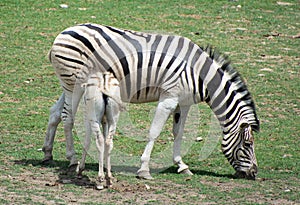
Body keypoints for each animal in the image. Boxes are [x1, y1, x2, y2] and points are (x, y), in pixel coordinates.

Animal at [42, 23, 260, 179]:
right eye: (248, 144)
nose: (254, 173)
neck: (200, 75)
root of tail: (63, 34)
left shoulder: (184, 103)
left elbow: (178, 132)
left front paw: (181, 165)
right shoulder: (169, 97)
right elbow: (154, 131)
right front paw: (144, 169)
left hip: (72, 84)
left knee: (55, 112)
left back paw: (47, 153)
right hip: (73, 83)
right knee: (67, 116)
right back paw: (72, 159)